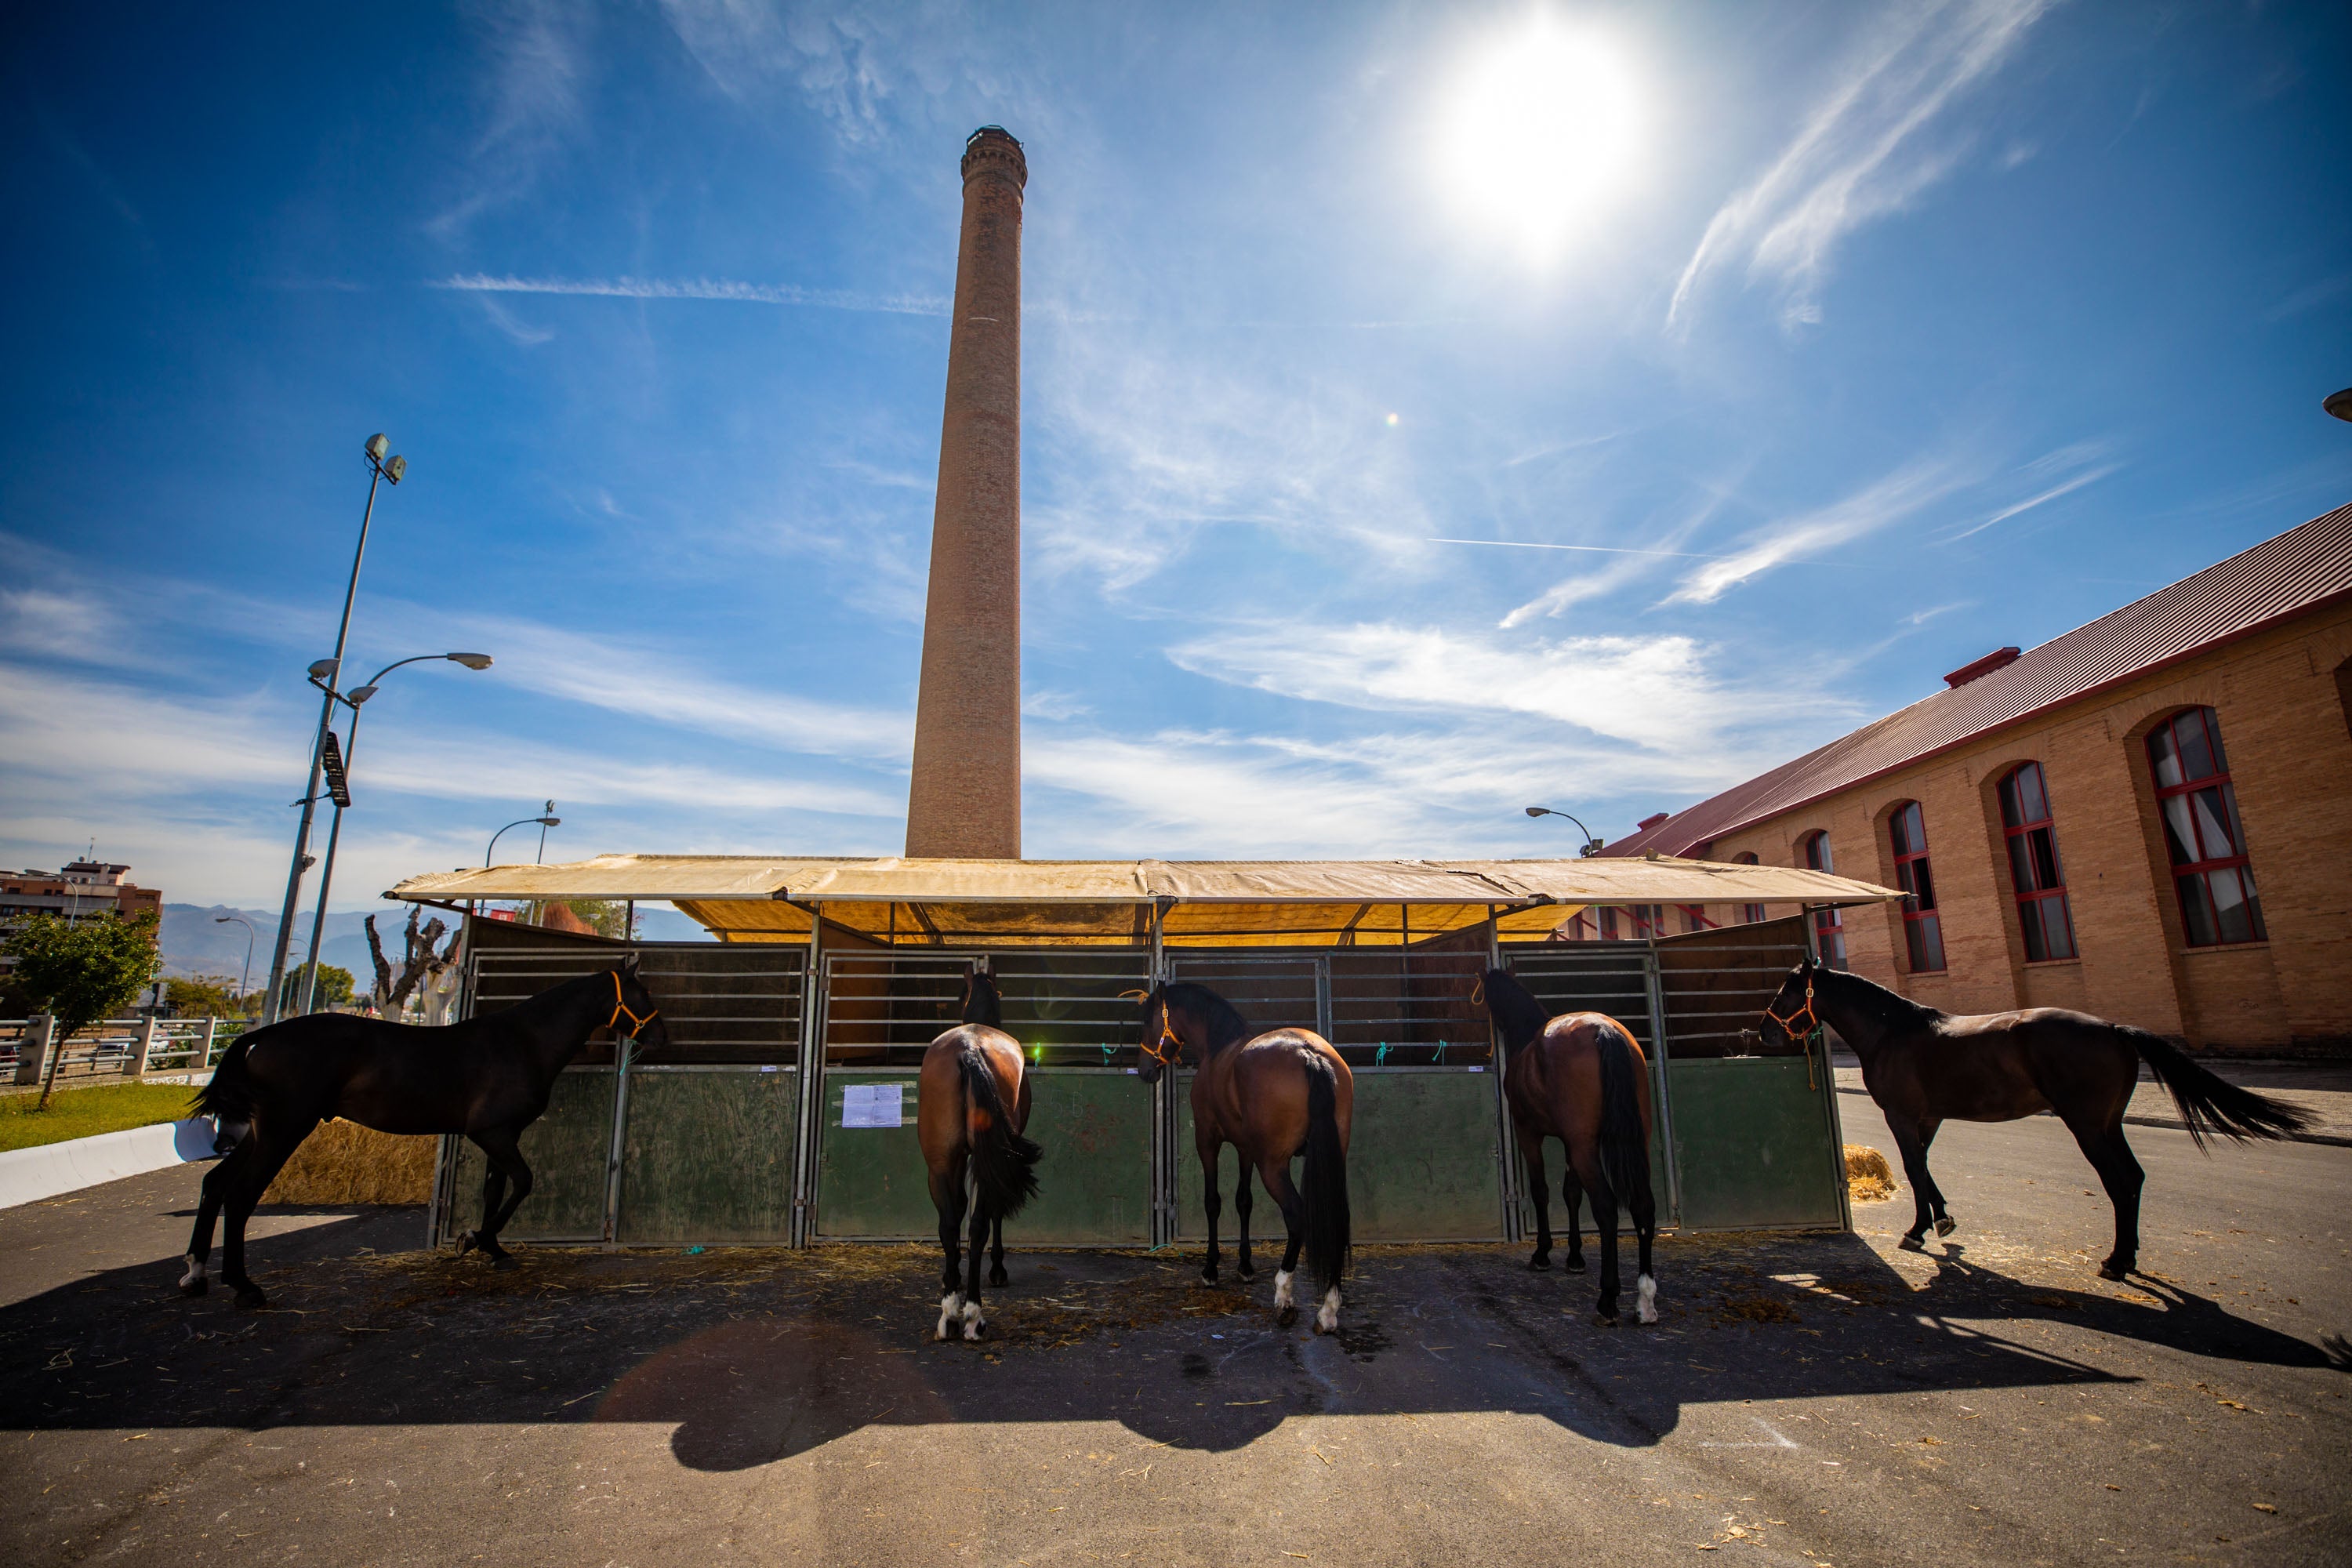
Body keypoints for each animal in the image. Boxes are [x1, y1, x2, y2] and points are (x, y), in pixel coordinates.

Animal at [187, 959, 668, 1316]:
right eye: (642, 994)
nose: (660, 1036)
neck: (524, 1042)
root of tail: (260, 1034)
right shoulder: (492, 1133)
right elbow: (523, 1182)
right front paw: (475, 1240)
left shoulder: (499, 1135)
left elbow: (496, 1190)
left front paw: (488, 1245)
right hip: (284, 1127)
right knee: (241, 1195)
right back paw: (244, 1286)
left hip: (259, 1131)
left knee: (215, 1184)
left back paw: (196, 1273)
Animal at [913, 964, 1035, 1345]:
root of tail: (969, 1048)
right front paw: (995, 1270)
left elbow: (959, 1209)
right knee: (975, 1222)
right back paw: (969, 1315)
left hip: (939, 1163)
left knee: (952, 1223)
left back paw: (954, 1313)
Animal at [1134, 987, 1355, 1335]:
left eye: (1147, 1021)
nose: (1144, 1069)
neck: (1218, 1048)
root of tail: (1310, 1054)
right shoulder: (1245, 1149)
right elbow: (1243, 1201)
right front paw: (1245, 1265)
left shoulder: (1207, 1141)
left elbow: (1213, 1202)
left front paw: (1211, 1269)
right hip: (1330, 1159)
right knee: (1338, 1216)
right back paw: (1329, 1308)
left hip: (1273, 1166)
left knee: (1296, 1216)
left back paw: (1284, 1299)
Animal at [1477, 968, 1665, 1326]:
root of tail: (1603, 1032)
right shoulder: (1569, 1142)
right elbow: (1571, 1194)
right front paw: (1575, 1257)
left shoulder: (1528, 1134)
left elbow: (1541, 1191)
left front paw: (1542, 1253)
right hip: (1634, 1143)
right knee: (1643, 1206)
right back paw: (1645, 1301)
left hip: (1585, 1149)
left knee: (1606, 1207)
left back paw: (1608, 1301)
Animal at [1759, 959, 2305, 1279]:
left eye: (1786, 990)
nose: (1764, 1033)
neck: (1893, 1031)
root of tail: (2115, 1029)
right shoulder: (1928, 1118)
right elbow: (1924, 1169)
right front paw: (1939, 1222)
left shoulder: (1902, 1115)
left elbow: (1915, 1170)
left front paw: (1922, 1229)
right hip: (2108, 1124)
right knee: (2134, 1178)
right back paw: (2126, 1256)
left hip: (2087, 1125)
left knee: (2120, 1181)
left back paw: (2116, 1261)